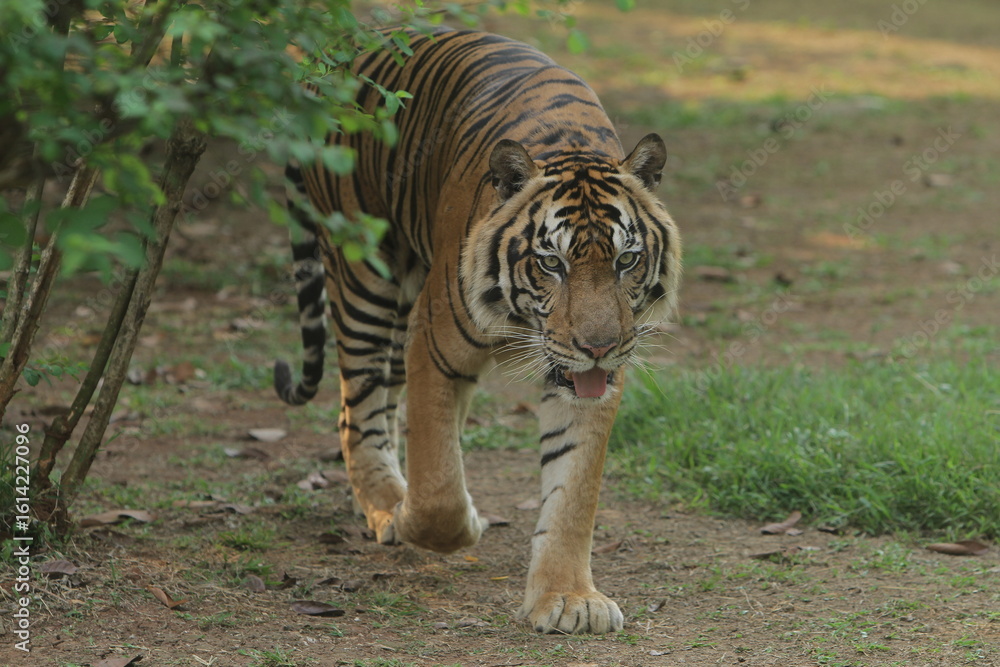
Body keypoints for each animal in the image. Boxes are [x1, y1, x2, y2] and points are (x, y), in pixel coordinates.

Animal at [275, 27, 681, 634]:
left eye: (626, 261)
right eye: (552, 264)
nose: (599, 346)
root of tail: (347, 55)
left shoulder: (595, 382)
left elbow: (573, 490)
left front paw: (568, 598)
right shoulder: (435, 345)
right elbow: (439, 483)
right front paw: (441, 520)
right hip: (364, 270)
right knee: (357, 409)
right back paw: (386, 504)